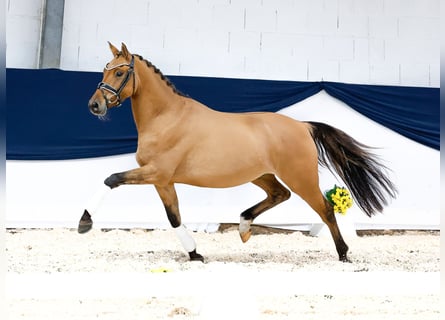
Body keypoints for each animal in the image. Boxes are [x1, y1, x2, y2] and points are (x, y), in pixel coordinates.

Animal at [78, 43, 398, 262]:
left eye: (120, 71)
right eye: (104, 69)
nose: (95, 105)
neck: (167, 118)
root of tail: (302, 126)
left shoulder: (156, 173)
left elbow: (111, 179)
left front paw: (84, 223)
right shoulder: (163, 181)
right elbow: (174, 217)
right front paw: (195, 254)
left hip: (301, 178)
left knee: (325, 209)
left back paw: (344, 253)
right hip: (262, 175)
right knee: (279, 195)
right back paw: (244, 226)